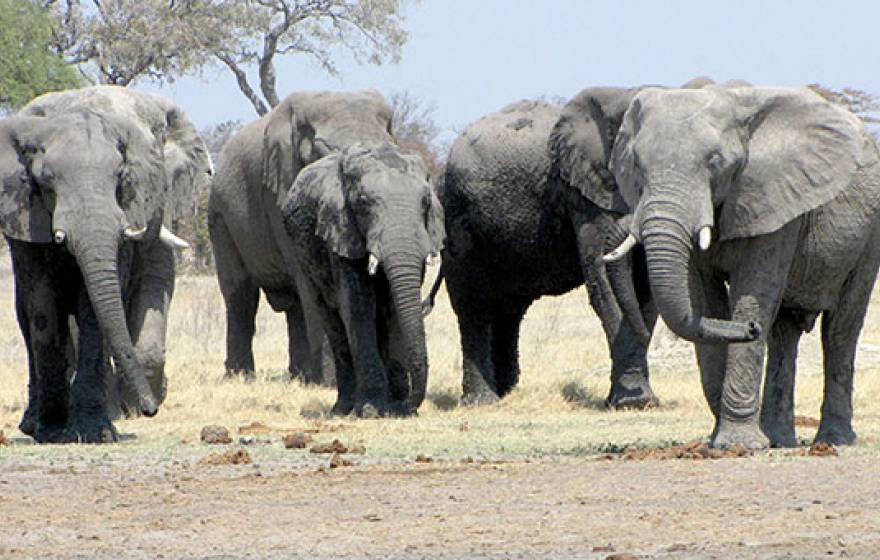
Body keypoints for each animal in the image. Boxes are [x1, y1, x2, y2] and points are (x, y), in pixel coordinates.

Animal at [0, 85, 212, 442]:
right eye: (46, 183)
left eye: (121, 178)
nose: (151, 410)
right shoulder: (29, 214)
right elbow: (44, 303)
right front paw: (54, 430)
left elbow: (103, 303)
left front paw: (97, 431)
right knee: (27, 315)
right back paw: (35, 422)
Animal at [208, 90, 401, 384]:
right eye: (324, 154)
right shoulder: (279, 191)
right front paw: (331, 383)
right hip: (221, 217)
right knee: (240, 294)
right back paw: (241, 376)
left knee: (294, 303)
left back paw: (300, 375)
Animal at [281, 141, 444, 416]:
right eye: (363, 203)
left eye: (425, 202)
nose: (411, 406)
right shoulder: (340, 233)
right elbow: (357, 306)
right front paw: (371, 410)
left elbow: (393, 306)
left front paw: (397, 409)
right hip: (303, 258)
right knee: (332, 320)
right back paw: (343, 408)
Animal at [438, 98, 658, 407]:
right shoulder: (586, 197)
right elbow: (604, 282)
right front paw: (632, 403)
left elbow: (644, 291)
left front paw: (637, 400)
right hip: (458, 218)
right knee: (473, 305)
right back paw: (483, 402)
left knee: (509, 309)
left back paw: (506, 392)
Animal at [606, 84, 880, 449]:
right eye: (636, 164)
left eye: (715, 162)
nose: (749, 329)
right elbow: (704, 302)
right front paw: (722, 443)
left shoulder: (774, 197)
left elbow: (753, 294)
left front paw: (738, 445)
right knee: (783, 333)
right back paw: (779, 440)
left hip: (869, 236)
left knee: (840, 330)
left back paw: (834, 441)